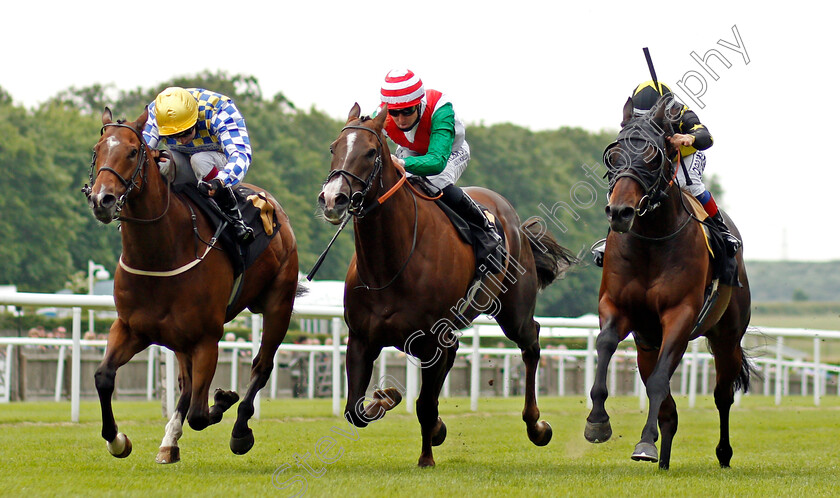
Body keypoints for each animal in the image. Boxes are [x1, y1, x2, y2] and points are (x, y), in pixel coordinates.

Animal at [85, 108, 300, 462]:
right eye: (97, 149)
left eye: (132, 151)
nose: (102, 199)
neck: (159, 254)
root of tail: (271, 205)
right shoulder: (130, 327)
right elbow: (103, 376)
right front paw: (117, 440)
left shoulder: (206, 338)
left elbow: (200, 413)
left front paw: (224, 399)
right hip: (179, 339)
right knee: (186, 385)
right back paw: (169, 442)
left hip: (278, 304)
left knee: (261, 365)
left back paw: (240, 430)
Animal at [316, 104, 576, 466]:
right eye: (333, 148)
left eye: (370, 152)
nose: (333, 198)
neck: (388, 265)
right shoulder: (361, 339)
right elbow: (355, 410)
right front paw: (389, 398)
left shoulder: (431, 341)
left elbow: (424, 404)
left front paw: (426, 457)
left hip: (514, 312)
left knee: (532, 343)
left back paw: (536, 425)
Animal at [584, 96, 756, 470]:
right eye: (613, 157)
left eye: (652, 156)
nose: (620, 213)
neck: (651, 240)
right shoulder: (616, 307)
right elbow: (605, 344)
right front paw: (598, 422)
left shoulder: (681, 314)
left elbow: (660, 383)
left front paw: (644, 442)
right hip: (647, 344)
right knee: (669, 409)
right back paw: (662, 461)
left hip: (726, 336)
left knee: (722, 395)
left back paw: (723, 454)